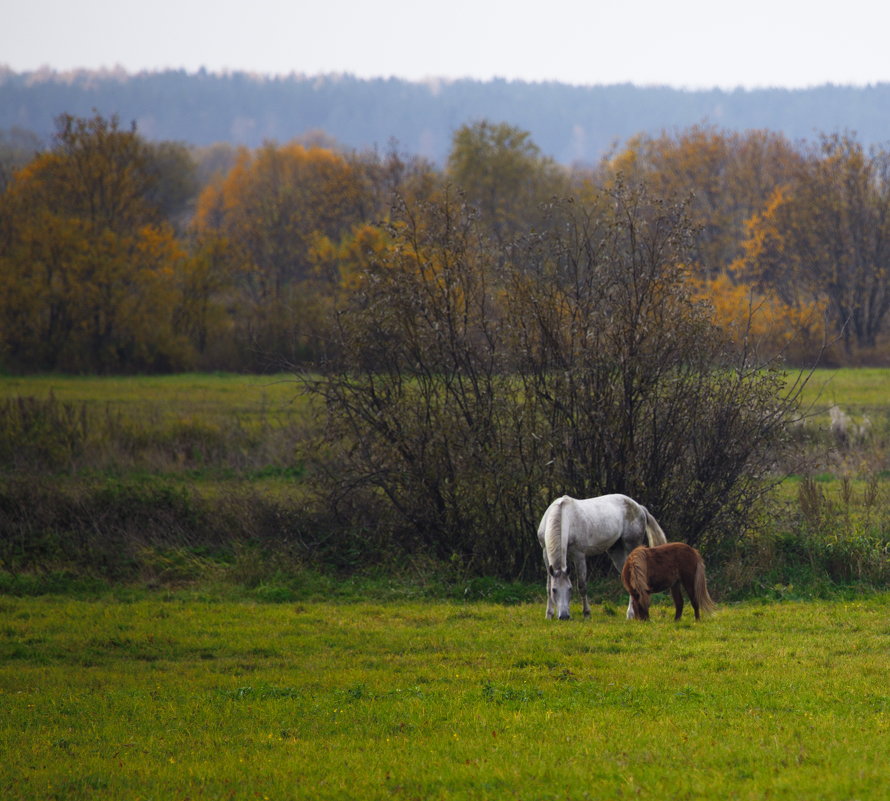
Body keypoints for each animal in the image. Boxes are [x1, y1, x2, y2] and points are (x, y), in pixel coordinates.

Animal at [536, 494, 664, 620]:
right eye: (554, 590)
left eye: (570, 589)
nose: (564, 616)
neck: (564, 515)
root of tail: (639, 507)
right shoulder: (545, 554)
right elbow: (547, 586)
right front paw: (549, 615)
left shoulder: (579, 556)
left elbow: (582, 586)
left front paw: (587, 614)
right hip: (616, 551)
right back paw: (631, 615)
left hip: (632, 546)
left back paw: (632, 614)